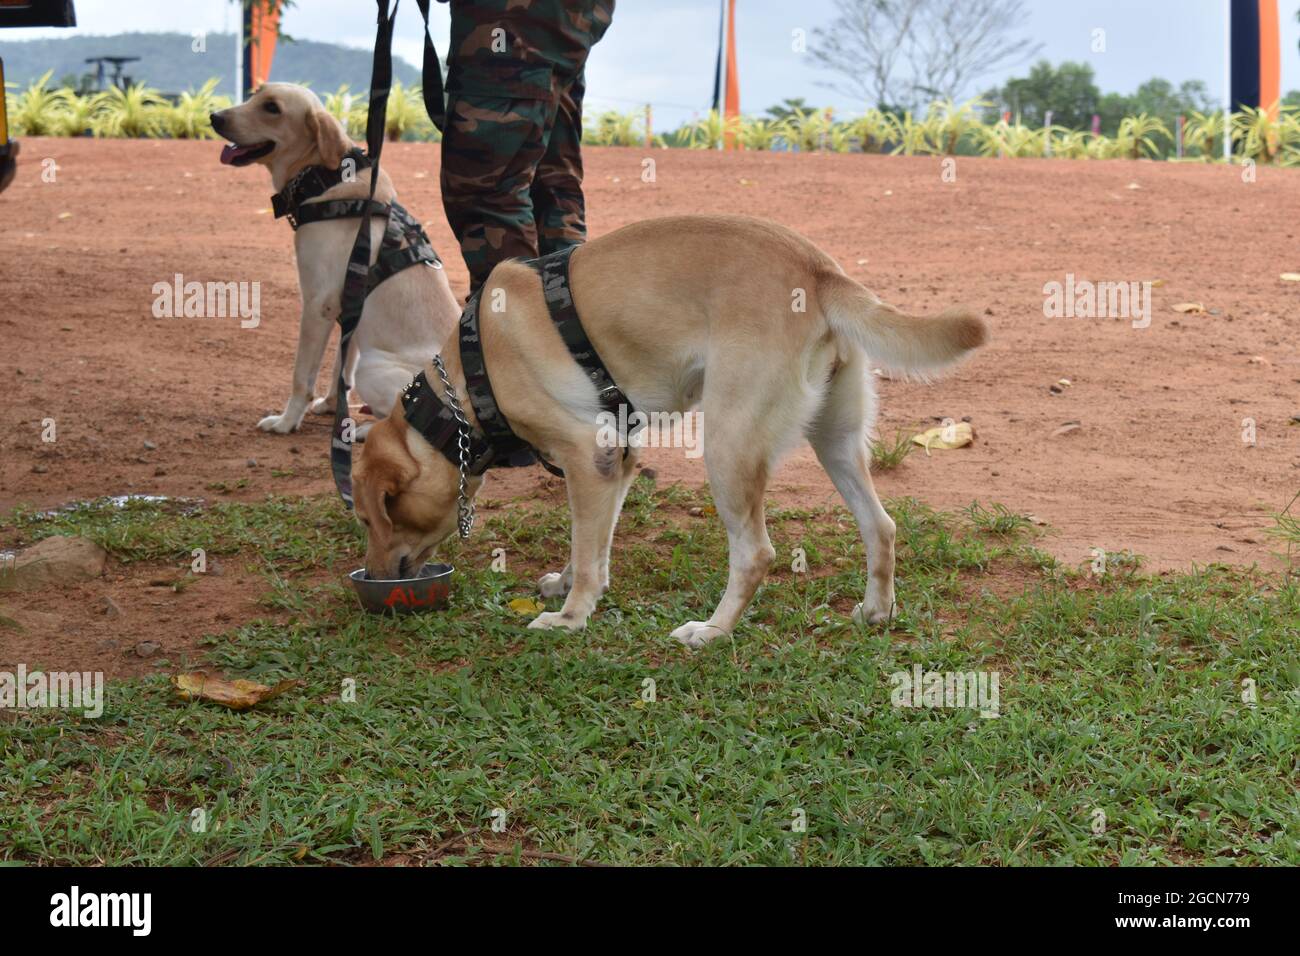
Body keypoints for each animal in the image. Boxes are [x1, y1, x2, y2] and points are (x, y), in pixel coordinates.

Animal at [210, 83, 460, 434]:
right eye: (254, 94)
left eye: (272, 108)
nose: (214, 117)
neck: (324, 177)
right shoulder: (349, 305)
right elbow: (340, 368)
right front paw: (332, 405)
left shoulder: (318, 305)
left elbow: (302, 375)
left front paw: (287, 421)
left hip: (374, 366)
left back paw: (362, 430)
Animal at [356, 214, 982, 650]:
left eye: (370, 517)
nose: (377, 576)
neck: (466, 382)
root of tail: (820, 272)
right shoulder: (616, 462)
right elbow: (594, 544)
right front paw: (572, 586)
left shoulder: (586, 458)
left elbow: (588, 552)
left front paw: (571, 616)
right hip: (835, 440)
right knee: (881, 526)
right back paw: (876, 611)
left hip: (728, 447)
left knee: (755, 554)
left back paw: (712, 631)